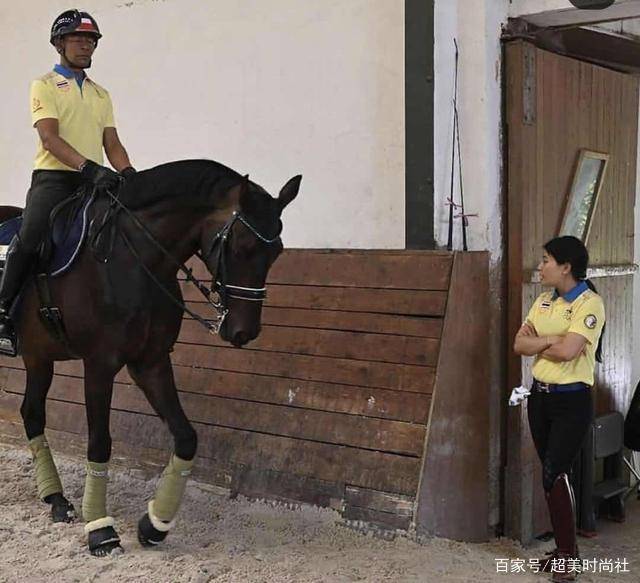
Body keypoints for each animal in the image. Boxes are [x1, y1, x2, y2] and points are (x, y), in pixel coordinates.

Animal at [0, 160, 300, 556]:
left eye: (277, 251)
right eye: (243, 245)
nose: (243, 331)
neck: (132, 260)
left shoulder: (151, 362)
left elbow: (186, 437)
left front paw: (155, 524)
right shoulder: (99, 365)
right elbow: (100, 442)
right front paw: (100, 529)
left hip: (39, 357)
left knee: (32, 415)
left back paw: (57, 500)